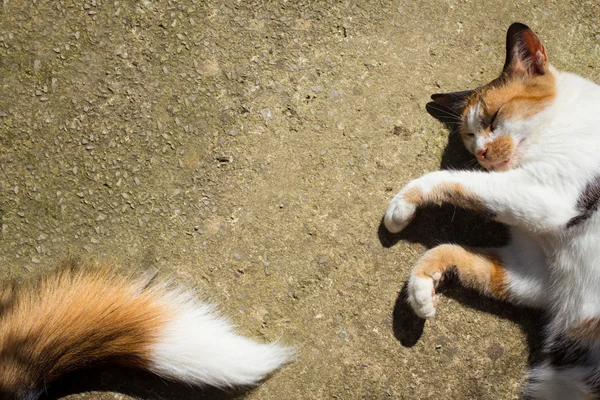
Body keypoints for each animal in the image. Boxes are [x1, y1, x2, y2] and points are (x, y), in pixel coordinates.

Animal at [384, 22, 600, 400]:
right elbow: (457, 254)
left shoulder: (548, 194)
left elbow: (454, 180)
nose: (481, 153)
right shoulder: (537, 273)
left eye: (494, 118)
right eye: (469, 136)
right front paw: (421, 290)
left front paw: (402, 203)